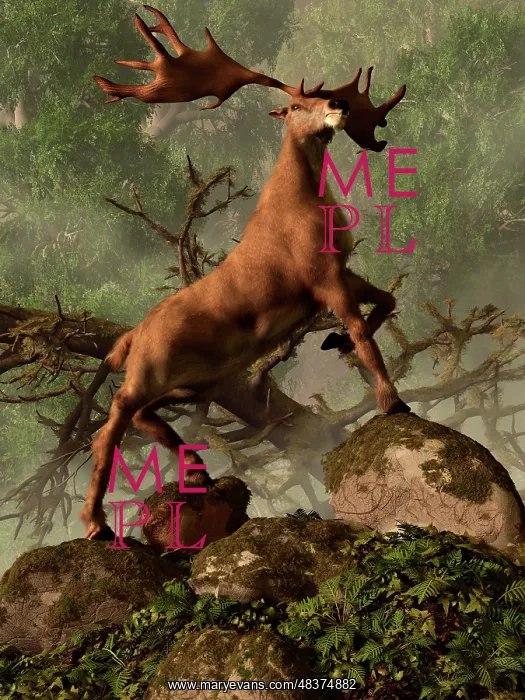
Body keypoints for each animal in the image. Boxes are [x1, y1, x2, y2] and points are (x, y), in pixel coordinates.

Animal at [79, 5, 411, 540]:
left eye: (325, 95)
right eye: (295, 106)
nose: (338, 104)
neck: (304, 202)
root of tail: (131, 337)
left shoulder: (339, 271)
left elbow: (387, 301)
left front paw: (333, 341)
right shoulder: (320, 275)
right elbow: (364, 332)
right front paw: (391, 400)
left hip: (193, 378)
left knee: (145, 417)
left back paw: (197, 470)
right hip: (150, 369)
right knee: (110, 424)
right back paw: (97, 523)